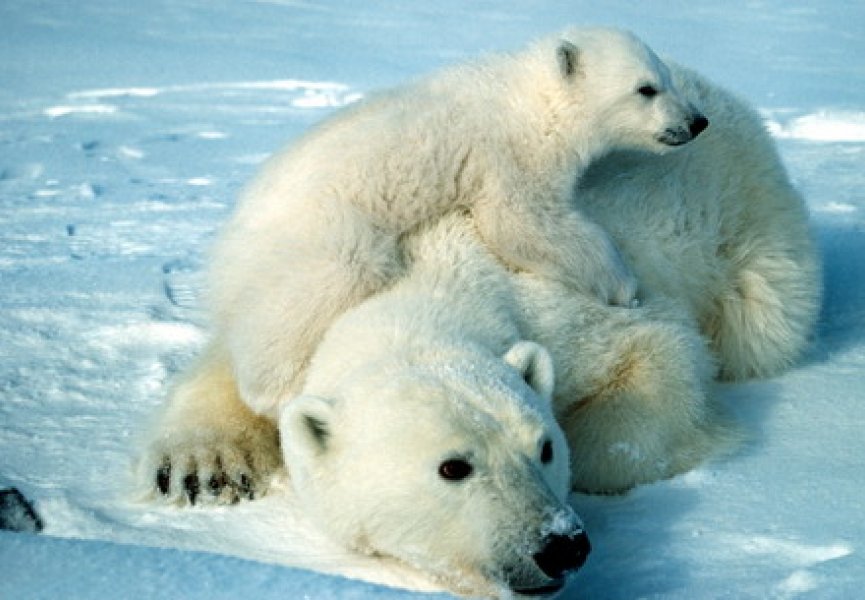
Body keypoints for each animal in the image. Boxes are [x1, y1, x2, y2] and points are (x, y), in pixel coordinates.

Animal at [209, 25, 708, 418]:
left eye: (667, 77)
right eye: (646, 88)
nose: (697, 121)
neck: (532, 100)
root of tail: (227, 247)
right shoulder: (511, 154)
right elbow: (523, 222)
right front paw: (624, 286)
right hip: (322, 233)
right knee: (321, 288)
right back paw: (277, 390)